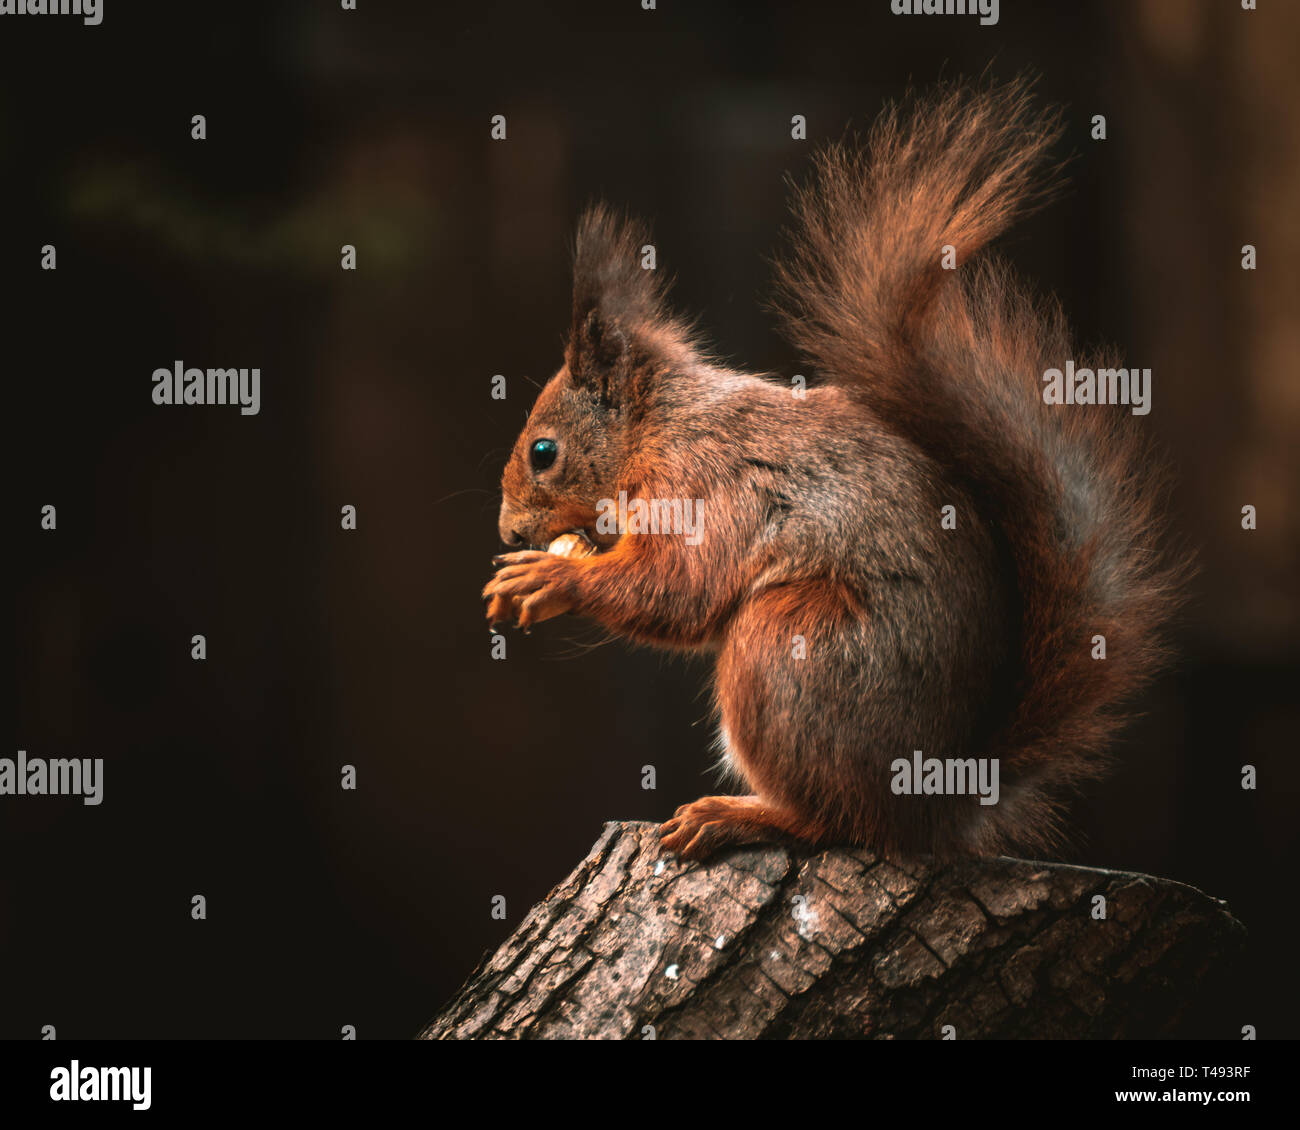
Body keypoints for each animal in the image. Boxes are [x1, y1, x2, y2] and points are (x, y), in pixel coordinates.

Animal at [483, 79, 1188, 863]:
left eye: (543, 452)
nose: (509, 531)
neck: (656, 431)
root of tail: (932, 800)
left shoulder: (706, 485)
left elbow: (677, 586)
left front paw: (550, 578)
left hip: (790, 651)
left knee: (835, 819)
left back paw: (740, 815)